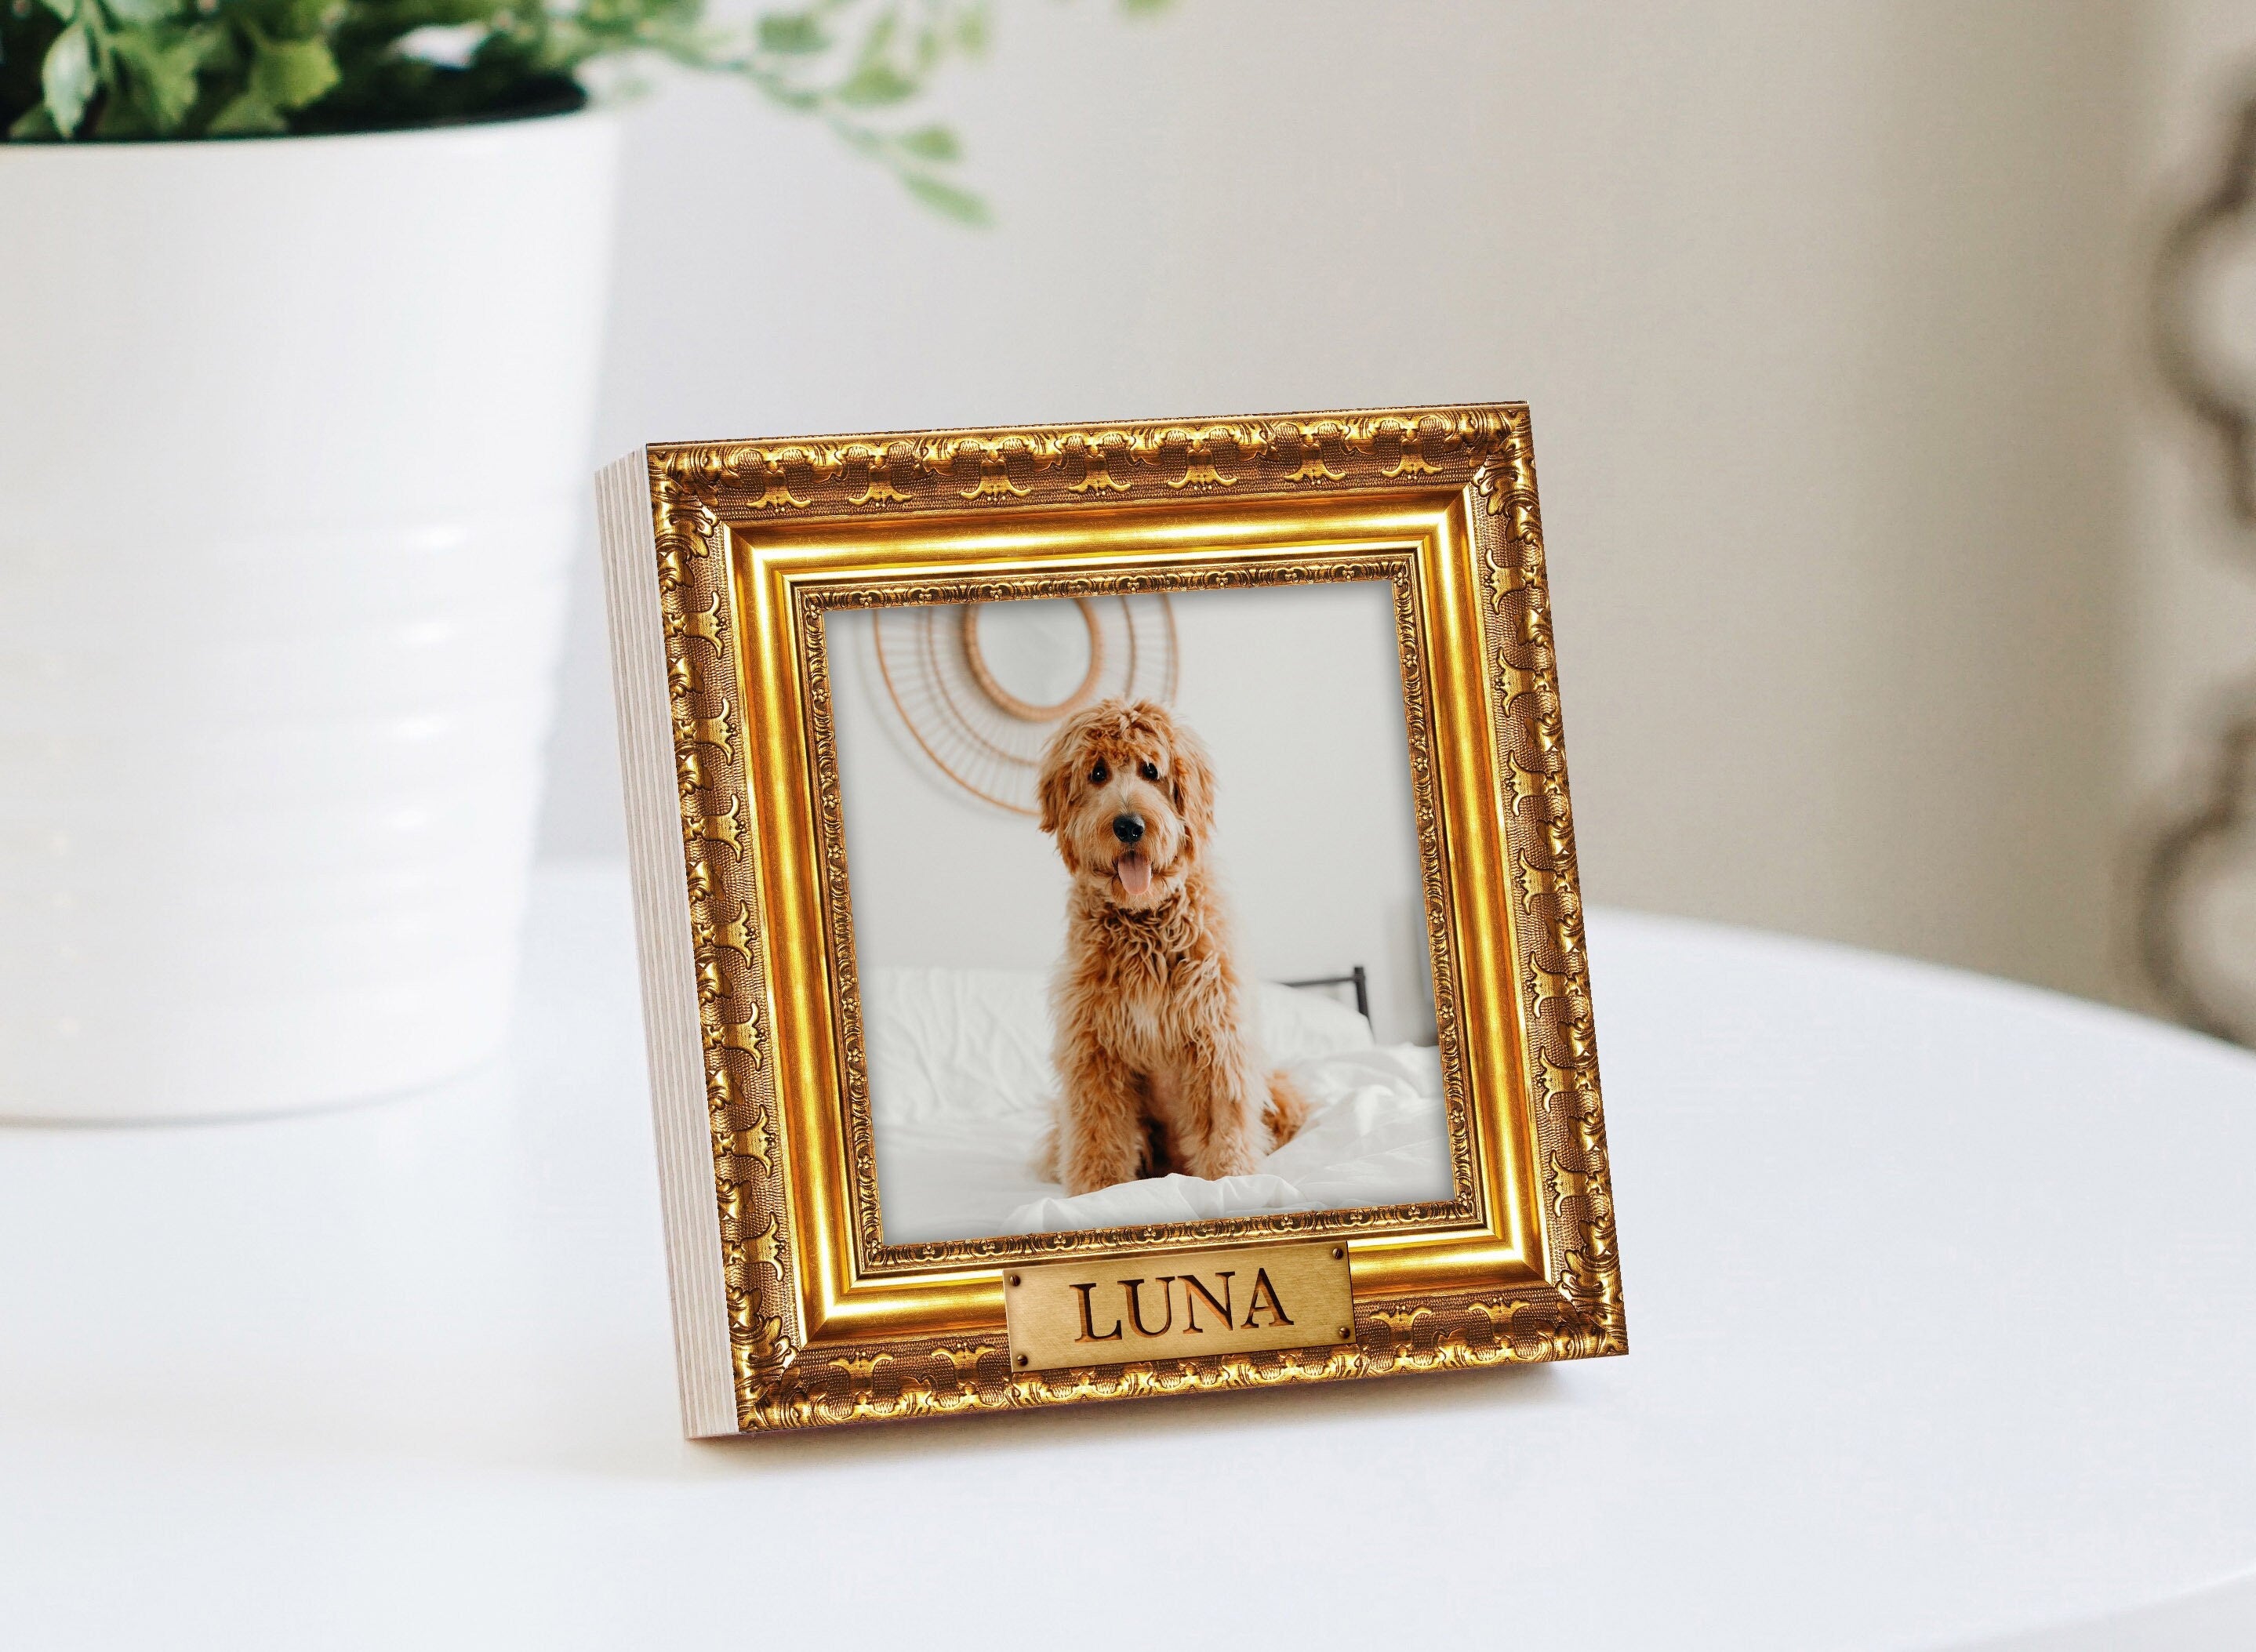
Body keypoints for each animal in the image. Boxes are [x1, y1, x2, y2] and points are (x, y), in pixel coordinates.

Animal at [1033, 690, 1308, 1191]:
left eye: (1151, 770)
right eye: (1097, 772)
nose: (1129, 826)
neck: (1145, 922)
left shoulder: (1216, 1035)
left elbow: (1223, 1124)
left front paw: (1232, 1180)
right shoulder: (1093, 1048)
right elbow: (1098, 1132)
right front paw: (1097, 1193)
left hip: (1280, 1090)